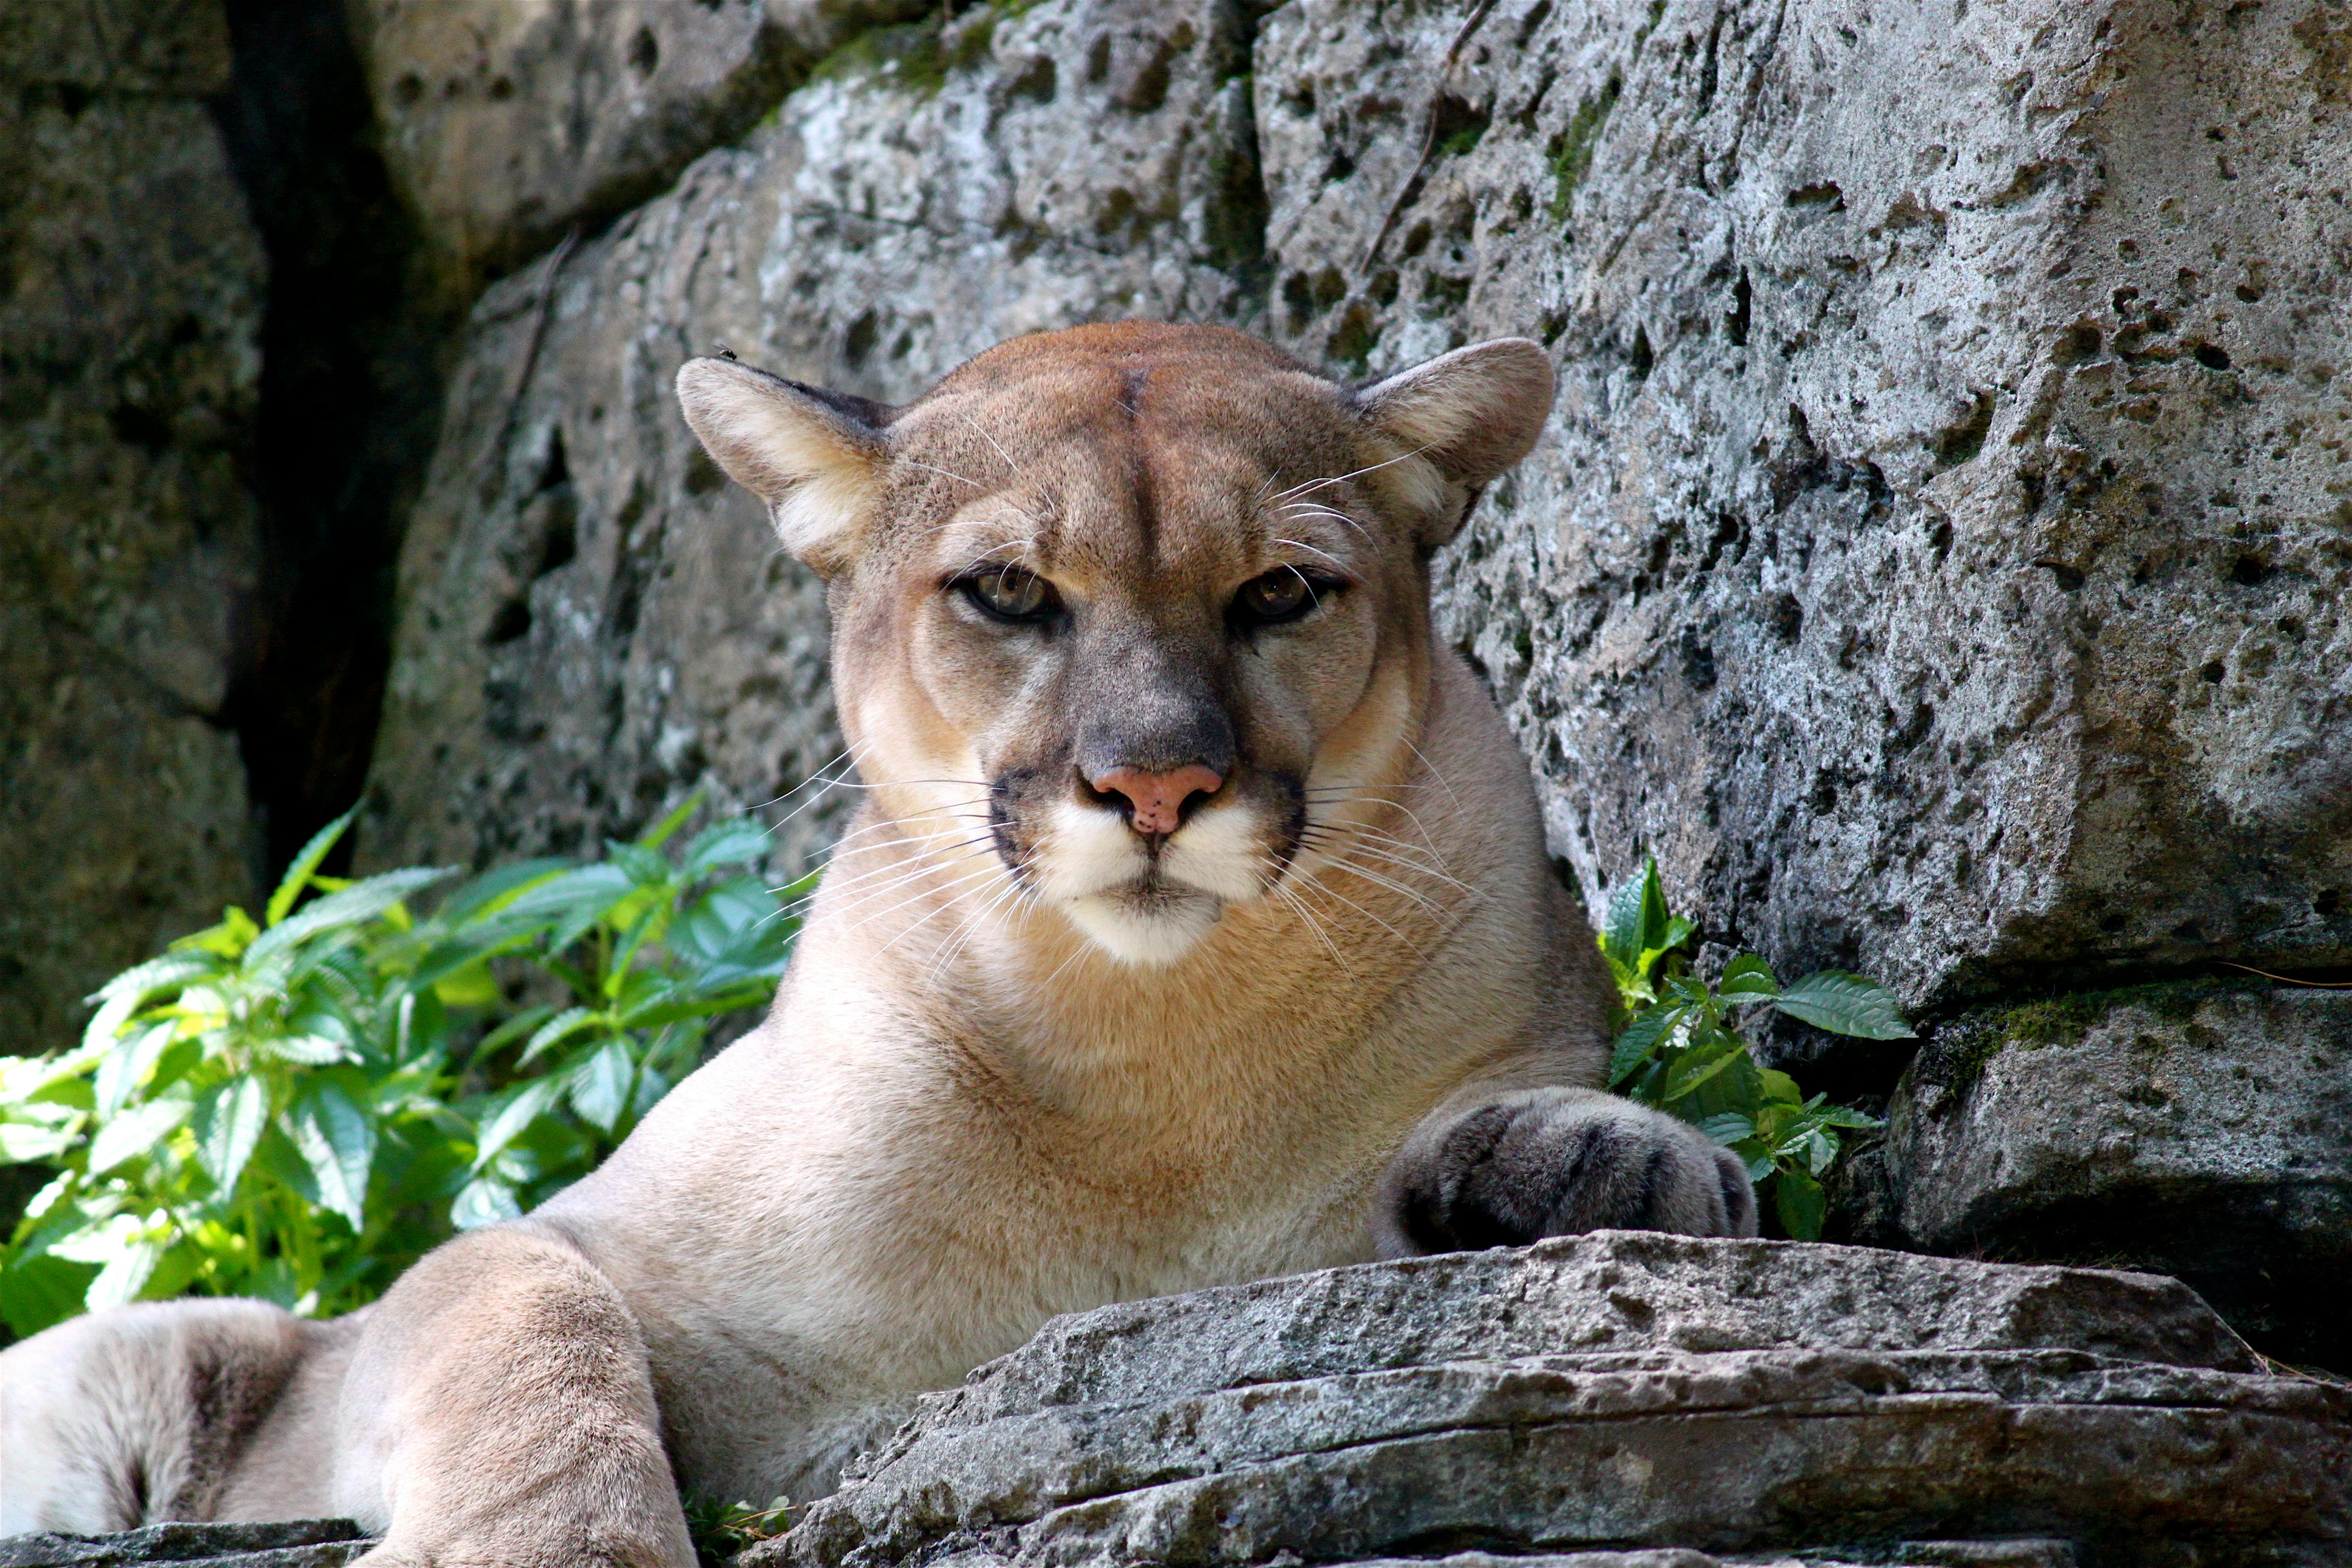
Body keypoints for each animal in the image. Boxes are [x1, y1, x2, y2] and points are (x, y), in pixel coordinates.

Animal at [4, 324, 1750, 1561]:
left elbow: (1543, 1102)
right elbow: (529, 1328)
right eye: (1008, 592)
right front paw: (558, 1550)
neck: (1149, 1069)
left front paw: (1615, 1157)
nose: (1157, 784)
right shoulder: (505, 1267)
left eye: (1279, 593)